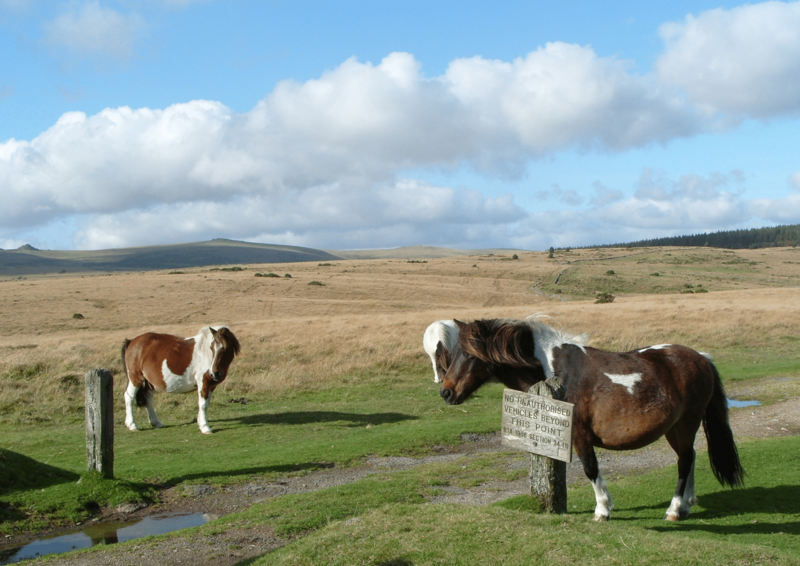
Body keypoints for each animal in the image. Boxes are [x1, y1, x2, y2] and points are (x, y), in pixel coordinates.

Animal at [438, 320, 744, 524]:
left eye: (470, 354)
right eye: (454, 353)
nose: (446, 392)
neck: (554, 371)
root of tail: (700, 358)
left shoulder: (579, 436)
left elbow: (590, 469)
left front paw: (603, 510)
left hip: (687, 423)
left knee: (684, 461)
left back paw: (674, 509)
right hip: (675, 428)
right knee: (688, 457)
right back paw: (687, 504)